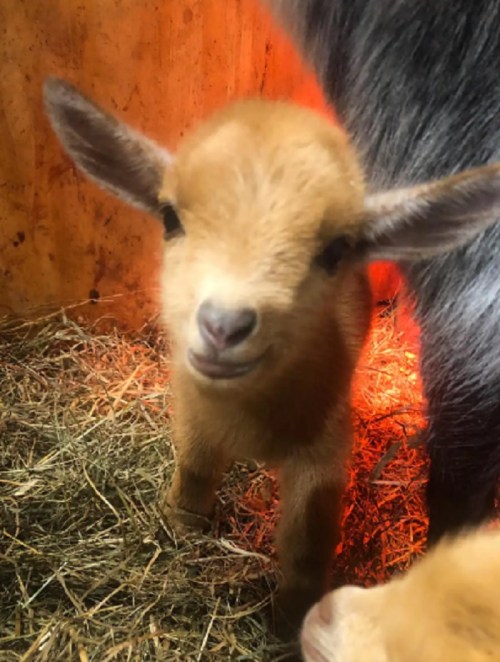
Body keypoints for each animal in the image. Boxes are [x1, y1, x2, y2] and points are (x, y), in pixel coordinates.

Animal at [43, 77, 500, 633]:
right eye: (170, 218)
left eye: (336, 250)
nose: (223, 325)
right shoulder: (193, 411)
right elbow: (194, 471)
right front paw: (180, 527)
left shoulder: (325, 446)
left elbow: (307, 534)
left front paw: (292, 618)